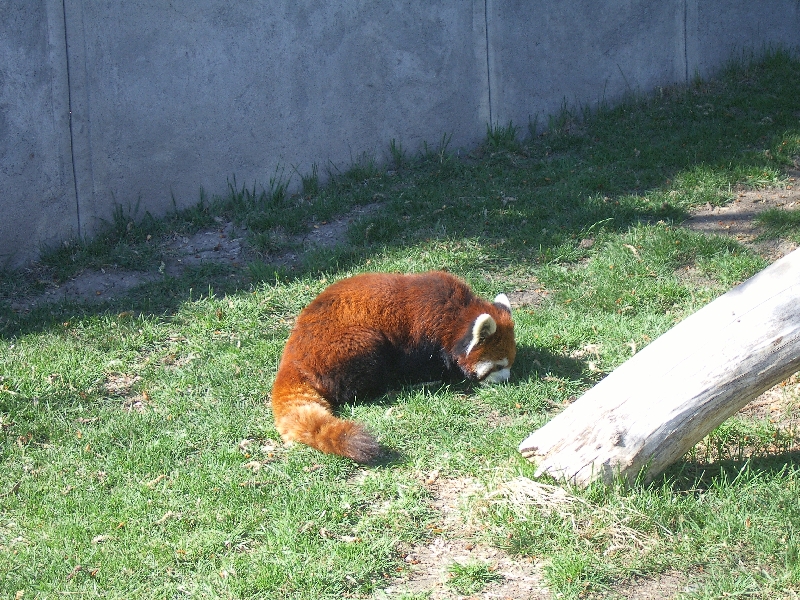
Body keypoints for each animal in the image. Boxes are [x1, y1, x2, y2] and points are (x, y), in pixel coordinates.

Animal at [270, 272, 520, 464]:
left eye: (510, 363)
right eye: (497, 366)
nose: (507, 379)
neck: (455, 318)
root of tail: (292, 356)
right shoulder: (421, 336)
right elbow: (421, 364)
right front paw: (435, 377)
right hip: (348, 345)